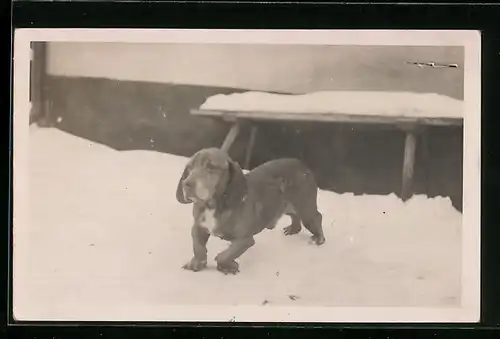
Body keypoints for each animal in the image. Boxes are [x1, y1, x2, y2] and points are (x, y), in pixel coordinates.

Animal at [175, 147, 324, 274]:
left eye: (211, 166)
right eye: (189, 168)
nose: (186, 184)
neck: (213, 205)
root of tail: (302, 164)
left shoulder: (245, 240)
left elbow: (223, 256)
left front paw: (228, 266)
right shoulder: (198, 228)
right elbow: (198, 247)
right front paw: (196, 262)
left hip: (306, 210)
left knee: (317, 217)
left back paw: (318, 238)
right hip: (287, 206)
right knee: (294, 215)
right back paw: (293, 228)